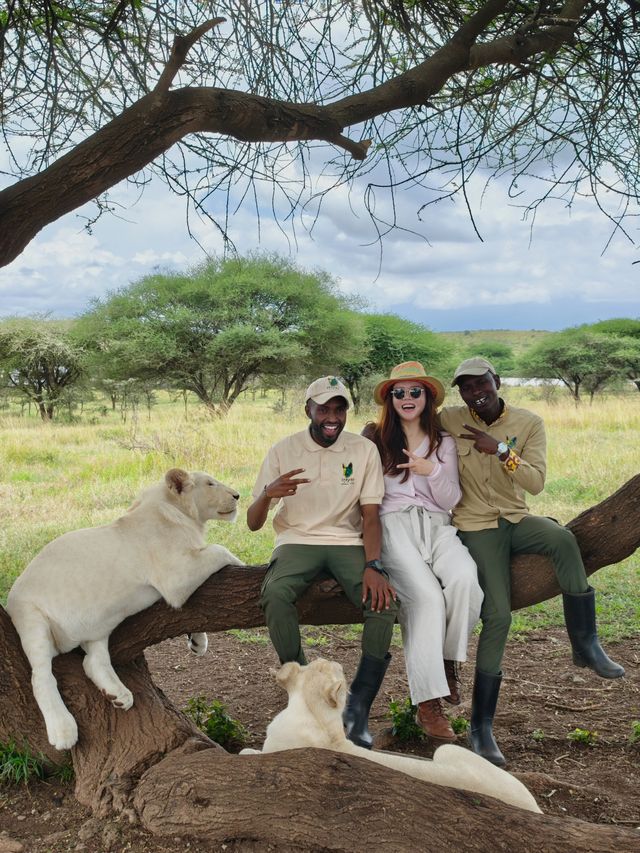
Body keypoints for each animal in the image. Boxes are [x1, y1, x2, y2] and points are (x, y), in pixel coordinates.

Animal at [6, 466, 242, 752]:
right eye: (210, 484)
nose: (238, 495)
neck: (183, 515)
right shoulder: (175, 577)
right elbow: (221, 549)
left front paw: (198, 641)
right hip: (31, 617)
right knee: (41, 677)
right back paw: (63, 730)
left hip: (98, 624)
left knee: (93, 660)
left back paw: (118, 695)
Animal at [242, 660, 544, 812]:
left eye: (333, 667)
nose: (335, 660)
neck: (321, 720)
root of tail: (535, 808)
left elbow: (251, 754)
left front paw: (245, 752)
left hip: (445, 750)